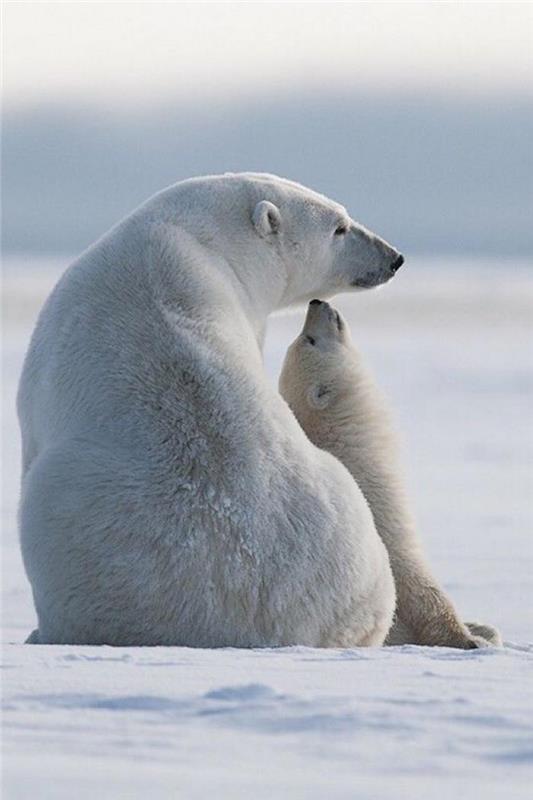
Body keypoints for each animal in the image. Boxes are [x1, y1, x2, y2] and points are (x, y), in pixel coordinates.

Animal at [280, 300, 500, 648]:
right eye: (309, 340)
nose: (317, 302)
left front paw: (483, 628)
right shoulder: (385, 520)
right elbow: (423, 592)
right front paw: (471, 640)